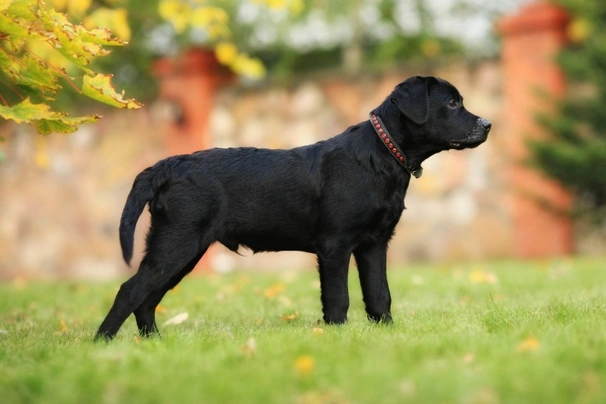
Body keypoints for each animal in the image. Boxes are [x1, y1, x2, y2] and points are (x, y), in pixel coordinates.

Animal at [96, 74, 494, 340]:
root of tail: (167, 165)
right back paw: (103, 343)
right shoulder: (335, 245)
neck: (381, 155)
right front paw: (337, 335)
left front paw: (386, 332)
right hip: (177, 242)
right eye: (452, 103)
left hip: (183, 250)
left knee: (147, 297)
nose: (488, 124)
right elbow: (338, 297)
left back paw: (153, 342)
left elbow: (379, 294)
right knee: (131, 290)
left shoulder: (374, 243)